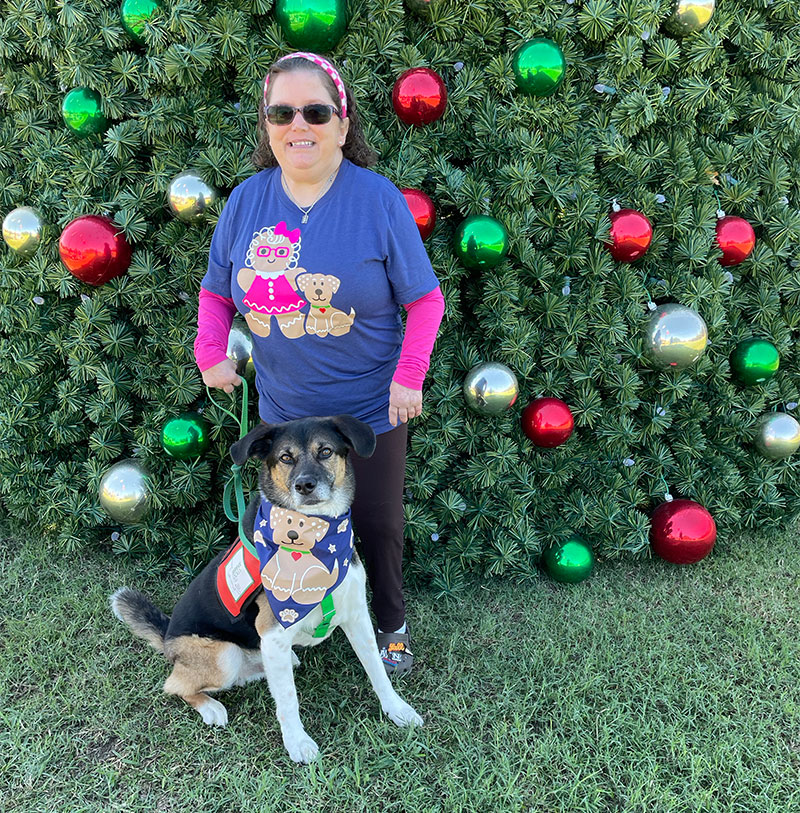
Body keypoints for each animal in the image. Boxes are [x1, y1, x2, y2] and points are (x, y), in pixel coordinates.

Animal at [114, 416, 424, 764]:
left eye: (326, 451)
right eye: (285, 457)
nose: (304, 485)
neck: (315, 540)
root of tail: (167, 637)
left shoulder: (357, 617)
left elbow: (377, 671)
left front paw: (397, 709)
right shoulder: (273, 631)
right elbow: (288, 699)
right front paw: (298, 743)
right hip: (223, 656)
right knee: (176, 685)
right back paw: (211, 707)